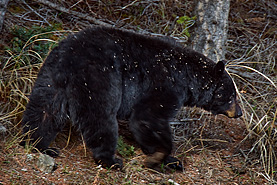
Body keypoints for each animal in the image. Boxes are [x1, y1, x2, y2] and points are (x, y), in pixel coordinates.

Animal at [20, 25, 240, 170]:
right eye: (231, 95)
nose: (239, 113)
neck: (187, 77)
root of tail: (70, 58)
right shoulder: (165, 85)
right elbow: (147, 117)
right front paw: (163, 157)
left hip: (50, 78)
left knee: (44, 111)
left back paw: (38, 144)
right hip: (100, 78)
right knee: (100, 117)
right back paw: (110, 160)